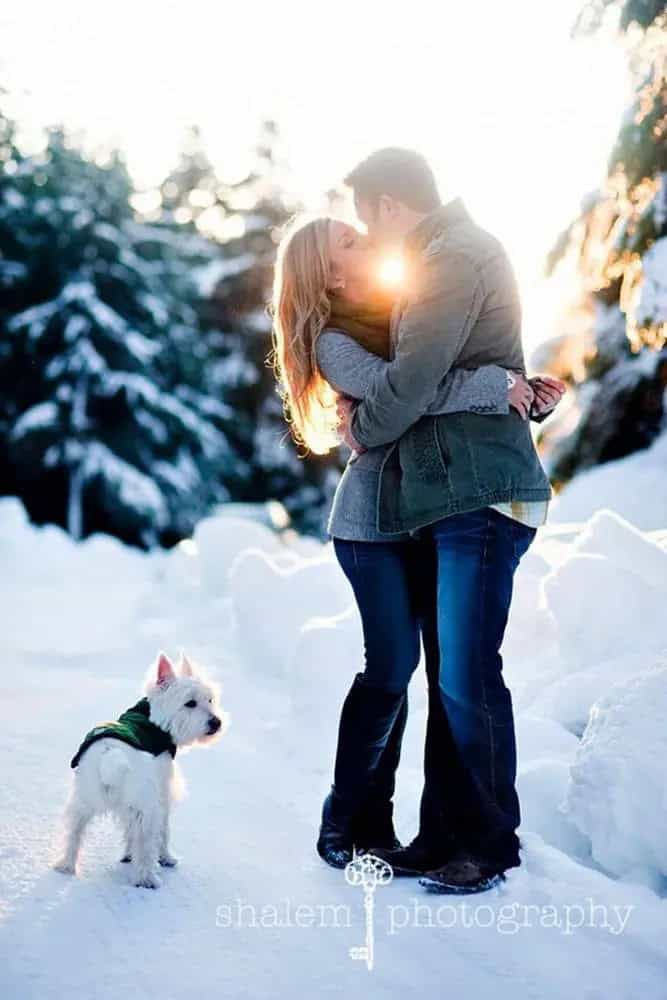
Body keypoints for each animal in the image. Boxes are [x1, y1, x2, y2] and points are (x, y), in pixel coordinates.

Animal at [54, 652, 227, 888]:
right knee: (146, 842)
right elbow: (162, 831)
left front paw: (128, 855)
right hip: (146, 806)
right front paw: (166, 858)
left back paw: (66, 865)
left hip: (83, 800)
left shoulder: (131, 807)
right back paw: (147, 878)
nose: (216, 722)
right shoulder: (161, 793)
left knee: (73, 833)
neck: (154, 720)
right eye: (190, 703)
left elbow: (129, 831)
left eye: (210, 700)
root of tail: (110, 755)